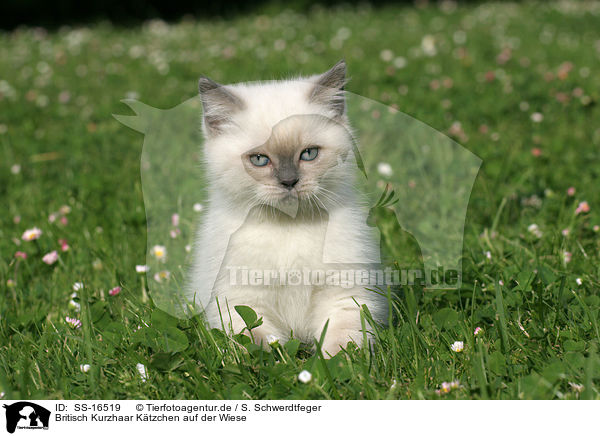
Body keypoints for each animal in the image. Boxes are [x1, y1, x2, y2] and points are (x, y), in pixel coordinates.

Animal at [188, 60, 390, 354]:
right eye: (259, 159)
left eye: (309, 154)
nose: (289, 181)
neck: (289, 225)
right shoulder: (239, 298)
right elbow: (253, 339)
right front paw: (265, 357)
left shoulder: (343, 293)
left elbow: (343, 341)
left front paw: (339, 360)